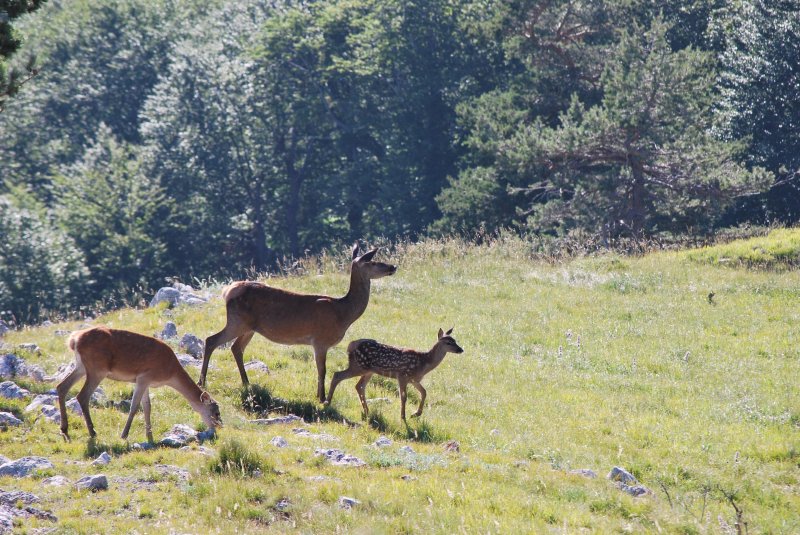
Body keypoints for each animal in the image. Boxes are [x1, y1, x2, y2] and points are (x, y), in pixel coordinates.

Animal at [57, 326, 222, 444]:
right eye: (216, 412)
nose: (218, 427)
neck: (169, 372)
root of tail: (74, 339)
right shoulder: (144, 377)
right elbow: (135, 406)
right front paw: (124, 435)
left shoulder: (145, 382)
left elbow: (147, 406)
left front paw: (149, 435)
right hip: (97, 369)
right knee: (82, 395)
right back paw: (92, 432)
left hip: (81, 366)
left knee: (61, 386)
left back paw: (65, 430)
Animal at [199, 243, 396, 402]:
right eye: (373, 262)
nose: (393, 266)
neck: (343, 313)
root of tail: (228, 291)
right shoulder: (320, 340)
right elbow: (322, 370)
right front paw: (321, 398)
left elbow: (318, 369)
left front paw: (318, 395)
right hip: (237, 321)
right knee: (211, 340)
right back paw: (202, 381)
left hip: (249, 327)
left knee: (236, 348)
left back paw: (246, 382)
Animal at [324, 328, 462, 420]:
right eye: (448, 342)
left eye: (455, 340)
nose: (461, 349)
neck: (424, 362)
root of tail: (350, 345)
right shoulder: (402, 376)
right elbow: (404, 397)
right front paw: (403, 417)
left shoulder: (414, 379)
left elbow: (424, 392)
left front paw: (416, 414)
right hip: (359, 366)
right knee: (337, 375)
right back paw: (327, 402)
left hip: (368, 370)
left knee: (359, 386)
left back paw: (367, 411)